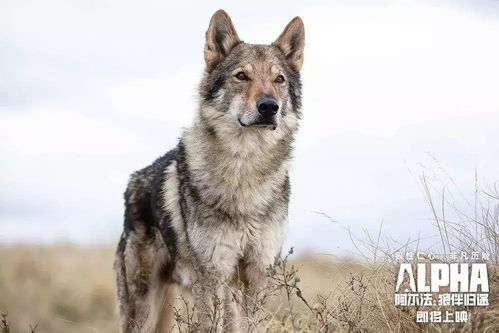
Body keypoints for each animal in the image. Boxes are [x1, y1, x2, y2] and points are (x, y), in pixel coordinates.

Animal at [115, 9, 304, 330]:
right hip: (145, 308)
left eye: (278, 79)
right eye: (241, 76)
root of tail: (133, 180)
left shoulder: (256, 275)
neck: (244, 173)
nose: (269, 107)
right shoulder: (212, 276)